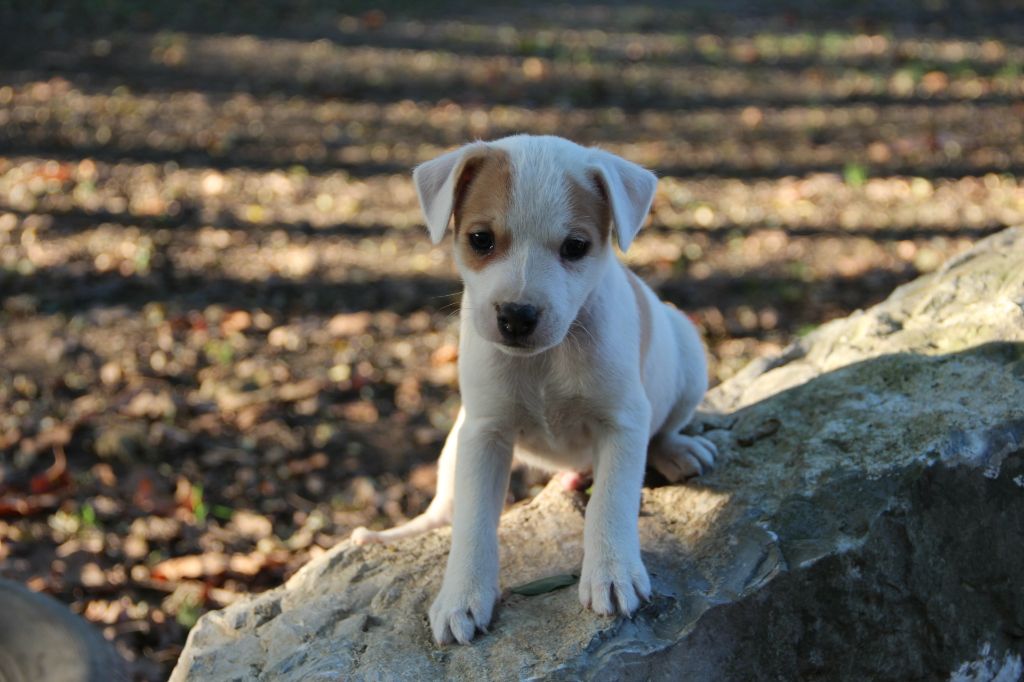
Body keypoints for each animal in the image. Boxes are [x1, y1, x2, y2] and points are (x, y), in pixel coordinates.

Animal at [348, 135, 716, 647]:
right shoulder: (483, 436)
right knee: (443, 512)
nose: (517, 316)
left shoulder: (622, 423)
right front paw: (462, 595)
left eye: (576, 247)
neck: (545, 361)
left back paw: (676, 451)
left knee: (663, 430)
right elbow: (473, 522)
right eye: (481, 239)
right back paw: (387, 535)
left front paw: (612, 572)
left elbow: (612, 501)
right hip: (453, 446)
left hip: (688, 352)